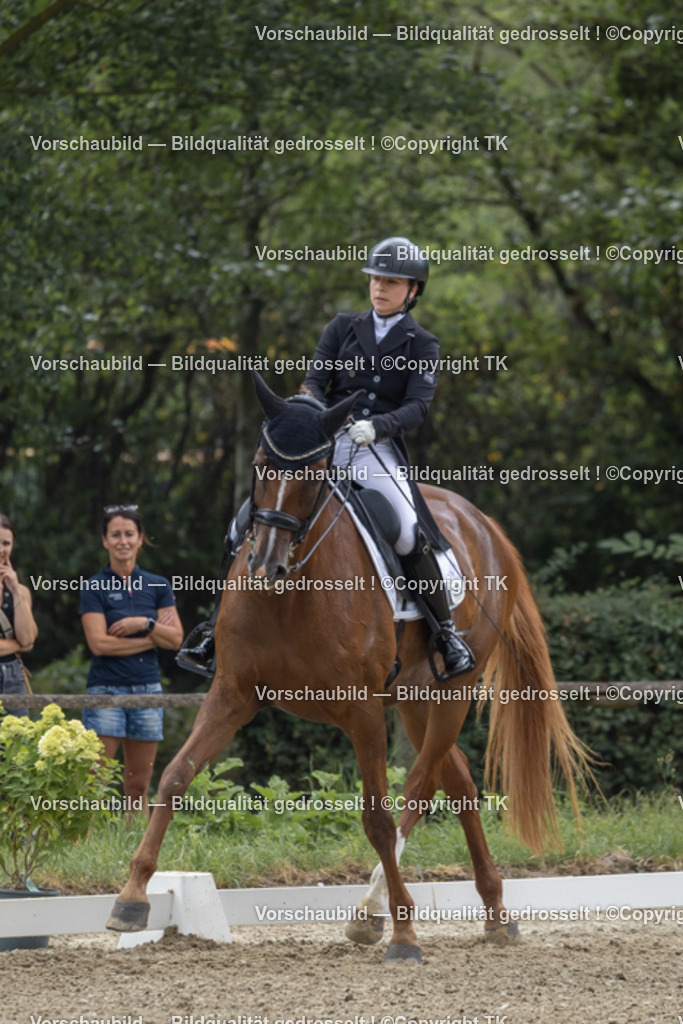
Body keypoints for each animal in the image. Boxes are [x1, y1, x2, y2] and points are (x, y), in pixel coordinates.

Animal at [107, 372, 589, 963]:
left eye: (314, 473)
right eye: (261, 464)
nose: (266, 564)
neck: (292, 592)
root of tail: (482, 522)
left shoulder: (362, 711)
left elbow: (378, 818)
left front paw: (404, 935)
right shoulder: (233, 693)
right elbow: (176, 776)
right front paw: (131, 898)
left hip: (453, 690)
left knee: (421, 785)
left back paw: (376, 910)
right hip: (414, 699)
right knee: (457, 780)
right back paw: (494, 913)